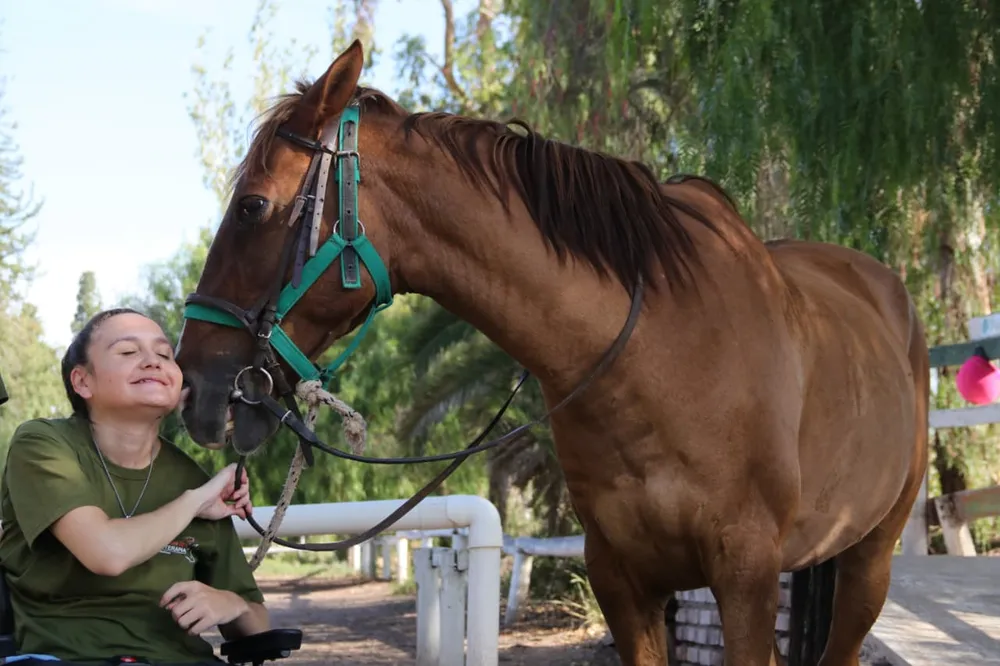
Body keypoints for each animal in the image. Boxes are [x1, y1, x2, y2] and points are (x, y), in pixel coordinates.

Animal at [175, 40, 929, 666]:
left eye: (251, 207)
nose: (194, 384)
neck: (663, 355)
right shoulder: (622, 581)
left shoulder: (744, 577)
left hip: (869, 562)